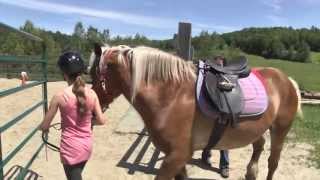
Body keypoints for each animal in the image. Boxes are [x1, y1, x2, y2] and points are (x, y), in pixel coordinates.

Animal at [88, 44, 302, 180]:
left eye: (93, 74)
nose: (92, 114)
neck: (172, 96)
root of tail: (286, 79)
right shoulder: (176, 158)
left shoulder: (176, 157)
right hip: (256, 129)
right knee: (259, 146)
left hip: (280, 129)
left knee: (273, 162)